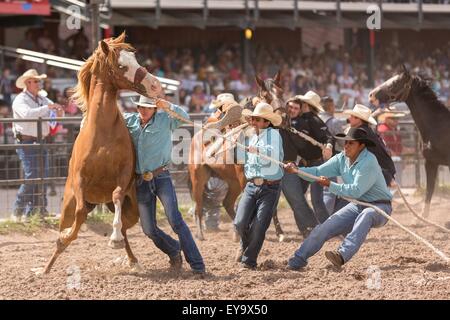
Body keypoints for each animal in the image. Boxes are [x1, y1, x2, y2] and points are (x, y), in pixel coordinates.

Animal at [40, 31, 163, 272]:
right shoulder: (80, 180)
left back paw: (132, 259)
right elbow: (78, 217)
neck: (102, 132)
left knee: (124, 228)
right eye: (122, 65)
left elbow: (116, 196)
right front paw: (66, 237)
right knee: (68, 225)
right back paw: (46, 268)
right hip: (67, 207)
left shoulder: (123, 175)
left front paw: (114, 240)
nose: (155, 85)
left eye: (136, 59)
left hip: (132, 210)